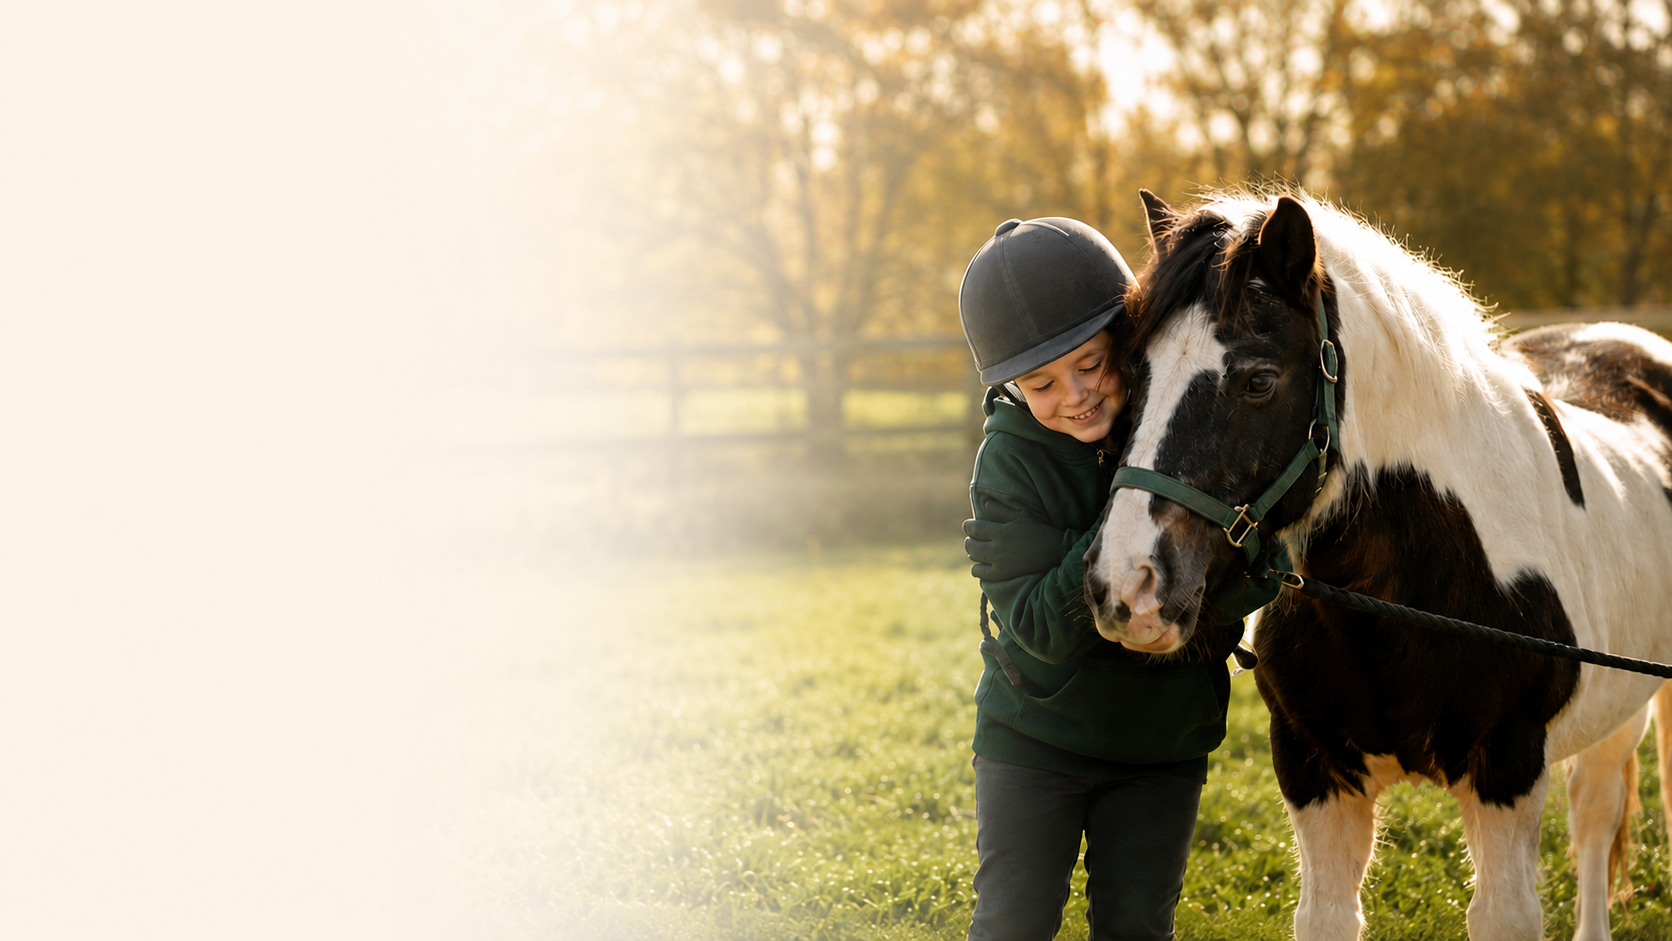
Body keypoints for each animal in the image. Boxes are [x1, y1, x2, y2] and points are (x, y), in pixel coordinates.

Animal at [1082, 189, 1672, 941]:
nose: (1126, 585)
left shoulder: (1507, 771)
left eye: (1258, 380)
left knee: (1594, 815)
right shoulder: (1316, 772)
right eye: (1132, 372)